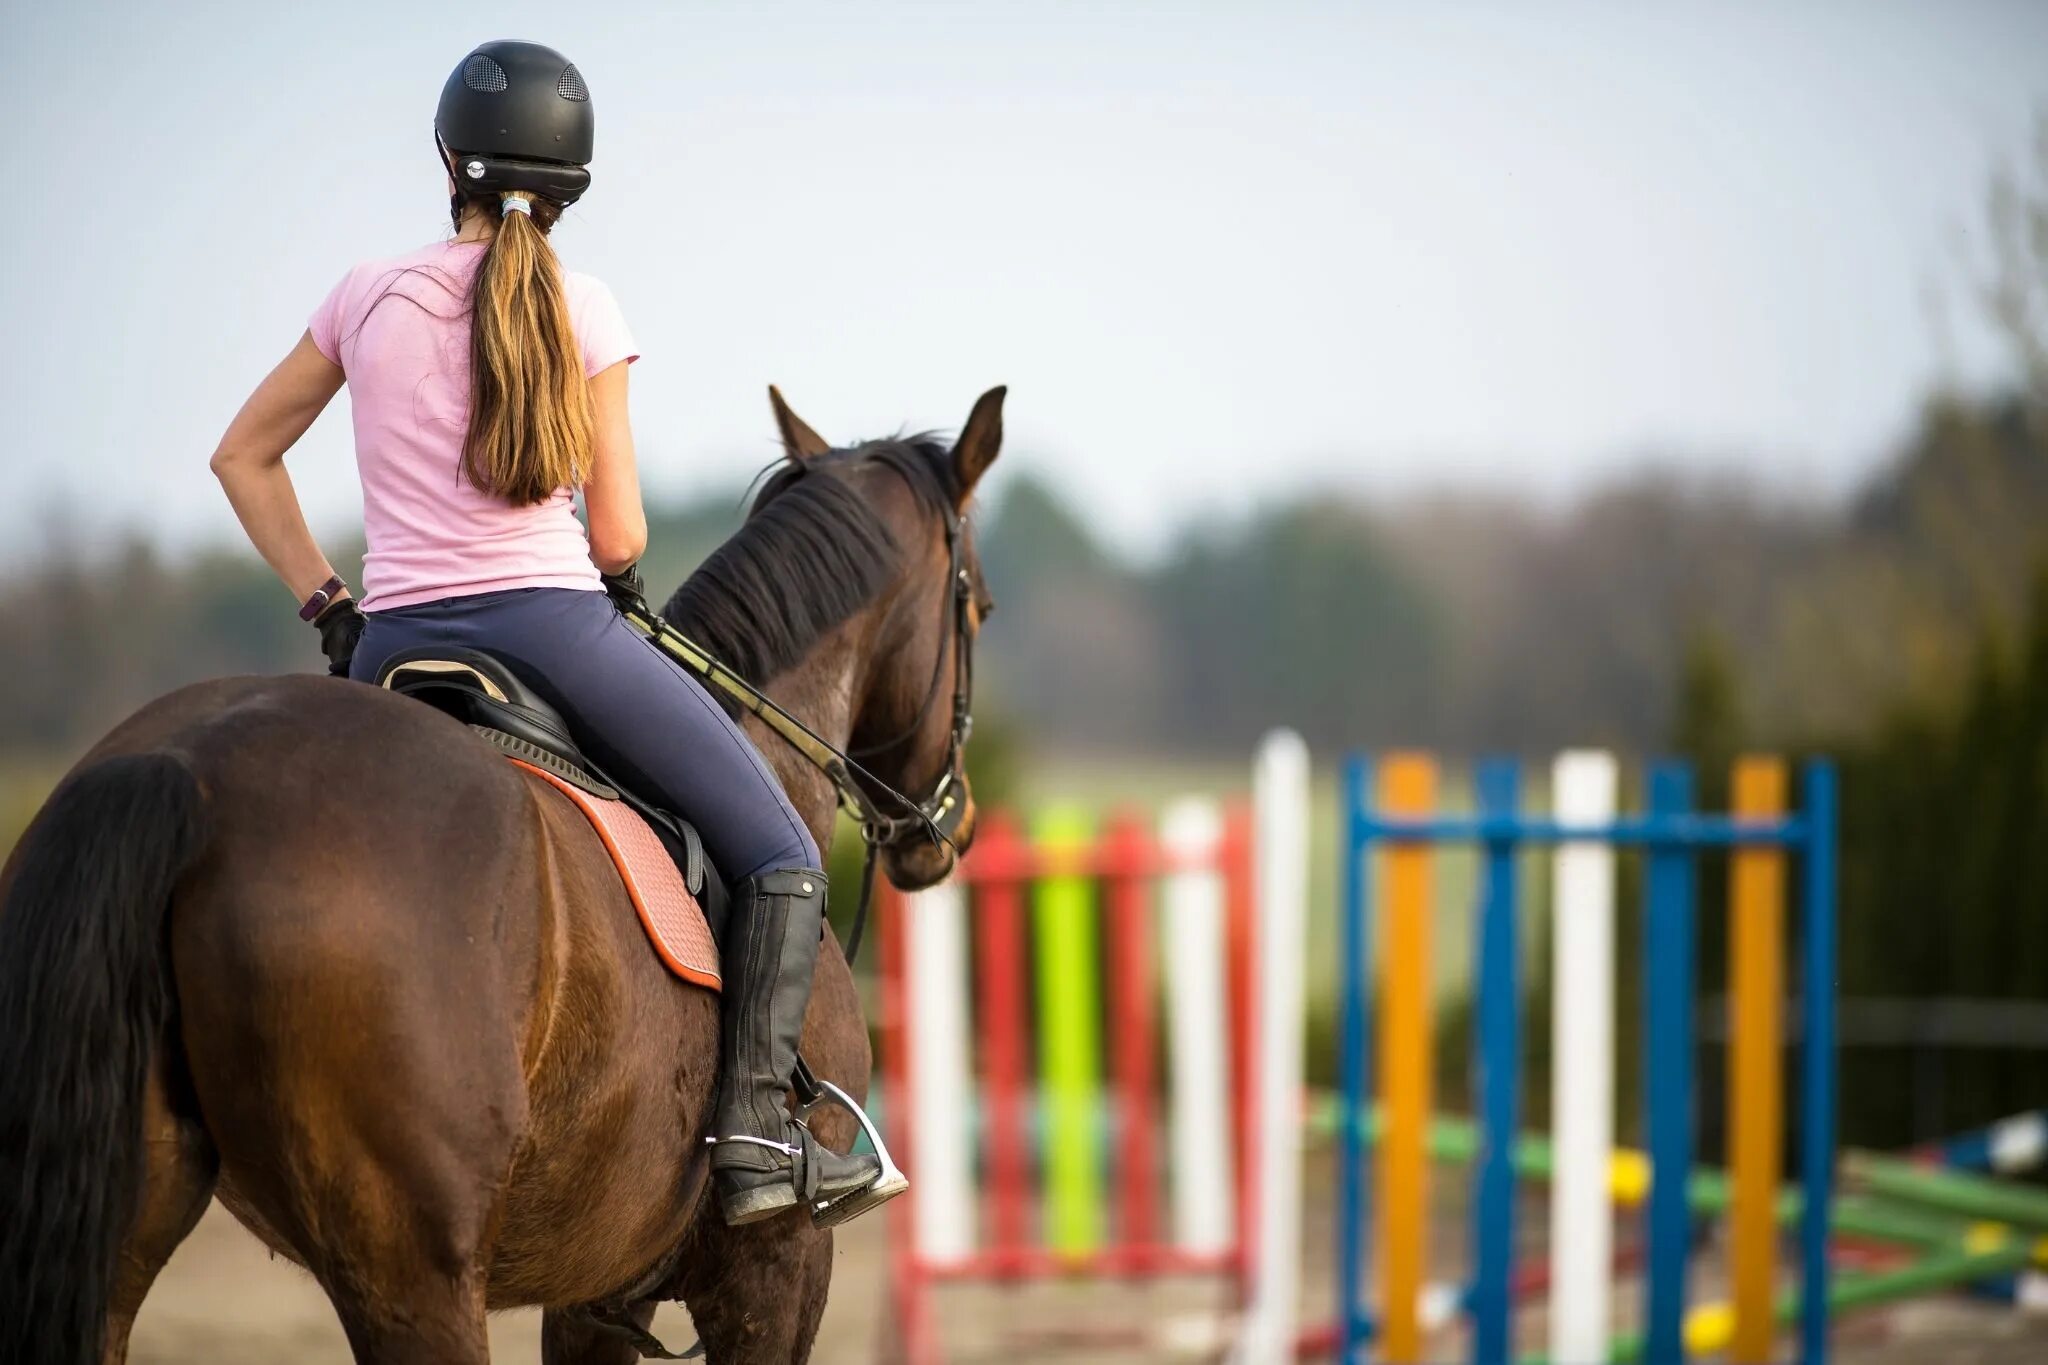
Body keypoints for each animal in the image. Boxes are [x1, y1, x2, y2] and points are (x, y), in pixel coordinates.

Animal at [0, 384, 1003, 1365]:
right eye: (980, 607)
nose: (947, 826)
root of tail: (183, 766)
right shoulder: (779, 1268)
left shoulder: (596, 1295)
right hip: (413, 1267)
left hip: (122, 1234)